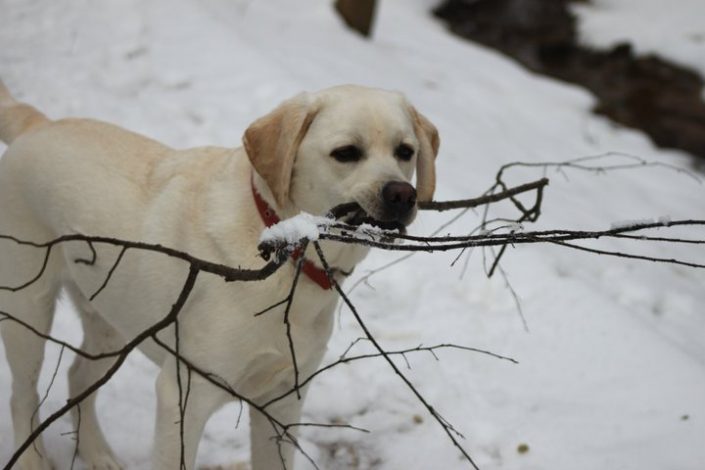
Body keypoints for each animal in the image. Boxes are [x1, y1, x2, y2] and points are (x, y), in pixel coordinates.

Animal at [0, 82, 438, 468]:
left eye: (405, 152)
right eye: (346, 153)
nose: (402, 194)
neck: (284, 252)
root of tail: (37, 124)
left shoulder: (284, 400)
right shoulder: (183, 396)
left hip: (113, 319)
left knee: (77, 377)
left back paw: (97, 454)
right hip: (27, 310)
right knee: (23, 395)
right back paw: (33, 462)